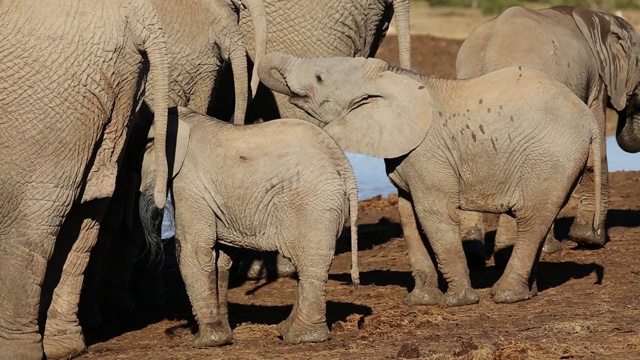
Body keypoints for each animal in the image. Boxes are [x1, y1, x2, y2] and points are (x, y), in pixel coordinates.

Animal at [139, 106, 360, 346]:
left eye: (148, 146)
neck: (187, 119)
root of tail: (345, 169)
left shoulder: (189, 183)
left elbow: (195, 250)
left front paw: (205, 342)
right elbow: (221, 257)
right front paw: (222, 337)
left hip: (311, 203)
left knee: (309, 264)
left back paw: (301, 337)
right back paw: (287, 330)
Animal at [258, 52, 604, 306]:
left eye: (319, 78)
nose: (354, 283)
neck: (391, 77)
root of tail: (590, 120)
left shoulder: (427, 152)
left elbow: (432, 214)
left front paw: (457, 303)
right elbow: (408, 215)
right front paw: (420, 302)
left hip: (550, 157)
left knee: (532, 219)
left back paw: (505, 296)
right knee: (540, 219)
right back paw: (527, 292)